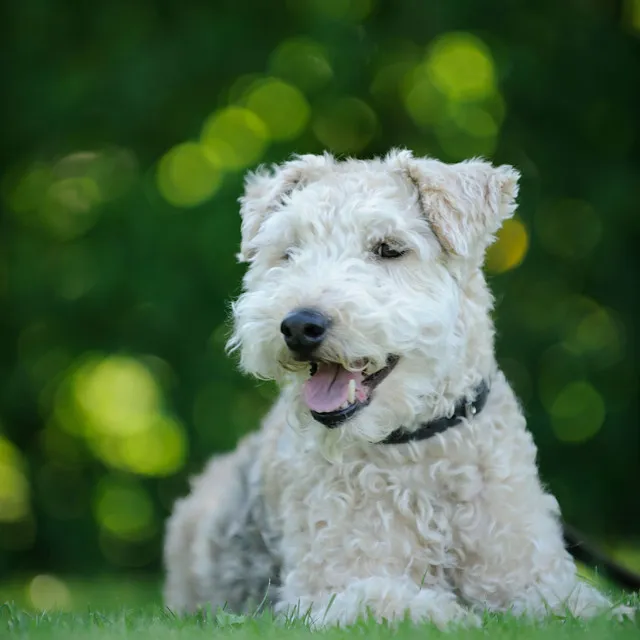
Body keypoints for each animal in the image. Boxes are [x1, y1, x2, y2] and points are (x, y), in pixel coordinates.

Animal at [162, 149, 632, 624]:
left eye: (389, 249)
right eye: (289, 252)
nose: (299, 326)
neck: (420, 448)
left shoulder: (532, 573)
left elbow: (577, 604)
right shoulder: (328, 590)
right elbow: (404, 603)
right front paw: (460, 617)